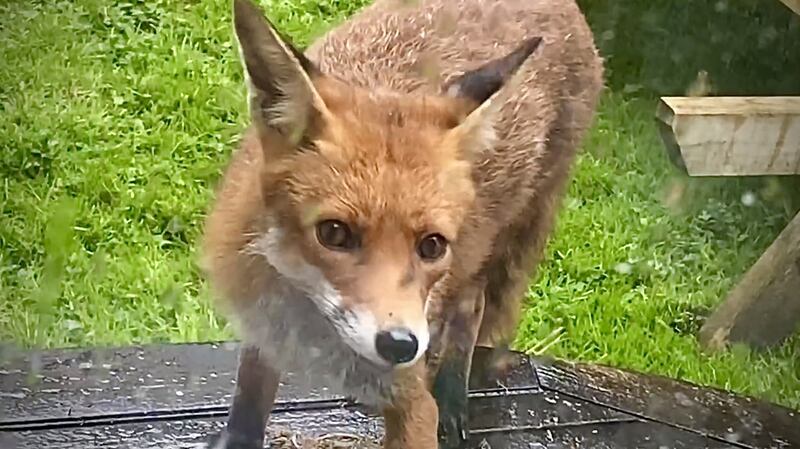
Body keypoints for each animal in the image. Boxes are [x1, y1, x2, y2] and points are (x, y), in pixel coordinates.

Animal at [201, 0, 603, 448]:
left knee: (472, 305)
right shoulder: (262, 334)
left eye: (432, 245)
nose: (400, 346)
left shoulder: (412, 402)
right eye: (334, 233)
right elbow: (249, 401)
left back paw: (452, 395)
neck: (305, 326)